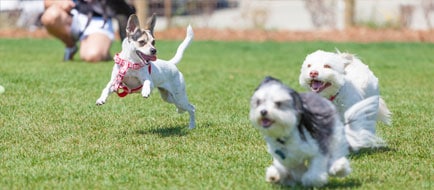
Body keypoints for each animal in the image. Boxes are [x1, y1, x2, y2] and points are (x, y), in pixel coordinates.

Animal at [251, 76, 384, 186]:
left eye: (278, 104)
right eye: (258, 102)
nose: (263, 112)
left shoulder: (319, 149)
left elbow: (316, 167)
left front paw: (311, 179)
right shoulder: (285, 157)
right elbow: (286, 166)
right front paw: (276, 175)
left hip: (335, 137)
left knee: (334, 156)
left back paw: (338, 167)